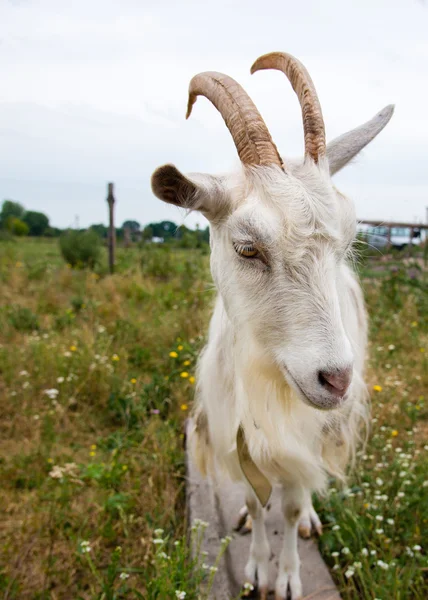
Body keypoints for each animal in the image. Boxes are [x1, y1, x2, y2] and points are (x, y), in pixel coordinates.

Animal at [151, 51, 394, 600]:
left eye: (349, 239)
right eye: (247, 248)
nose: (337, 379)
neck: (265, 379)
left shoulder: (305, 434)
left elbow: (289, 499)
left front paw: (285, 575)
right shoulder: (231, 432)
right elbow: (256, 501)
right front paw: (257, 567)